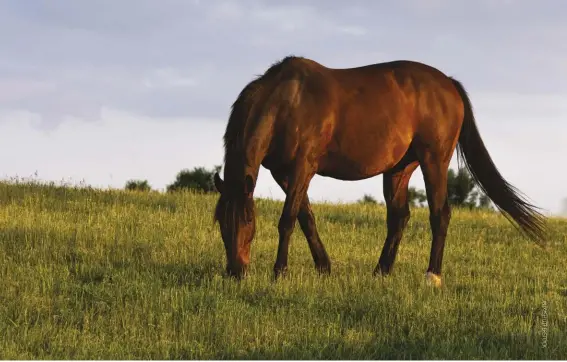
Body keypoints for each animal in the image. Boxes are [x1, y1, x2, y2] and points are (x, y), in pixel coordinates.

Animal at [212, 55, 544, 286]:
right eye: (220, 223)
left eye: (247, 220)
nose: (235, 272)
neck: (288, 102)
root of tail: (449, 83)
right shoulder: (283, 173)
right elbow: (307, 218)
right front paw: (324, 267)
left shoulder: (303, 167)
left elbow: (288, 219)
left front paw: (280, 272)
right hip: (399, 169)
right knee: (399, 218)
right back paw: (381, 272)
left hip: (434, 160)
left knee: (440, 214)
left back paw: (432, 276)